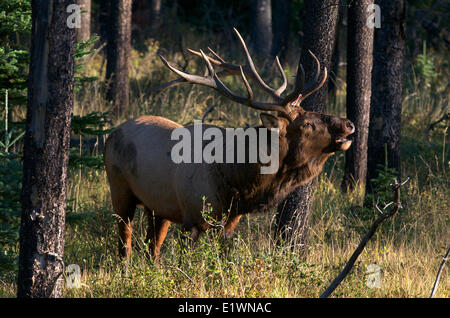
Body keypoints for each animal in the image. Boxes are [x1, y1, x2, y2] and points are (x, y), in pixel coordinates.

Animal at [104, 28, 356, 260]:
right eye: (307, 124)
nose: (349, 123)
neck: (237, 182)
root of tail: (111, 133)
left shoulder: (229, 223)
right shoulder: (191, 217)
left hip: (157, 207)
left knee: (151, 249)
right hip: (119, 190)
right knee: (124, 245)